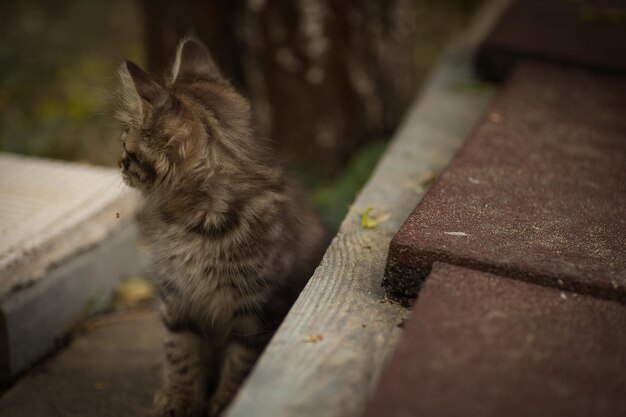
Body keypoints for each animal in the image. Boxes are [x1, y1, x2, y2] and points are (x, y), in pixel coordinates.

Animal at [114, 37, 324, 414]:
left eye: (127, 146)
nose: (118, 163)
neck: (198, 223)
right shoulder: (176, 298)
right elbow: (180, 352)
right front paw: (181, 397)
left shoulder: (257, 306)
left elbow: (242, 360)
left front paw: (228, 400)